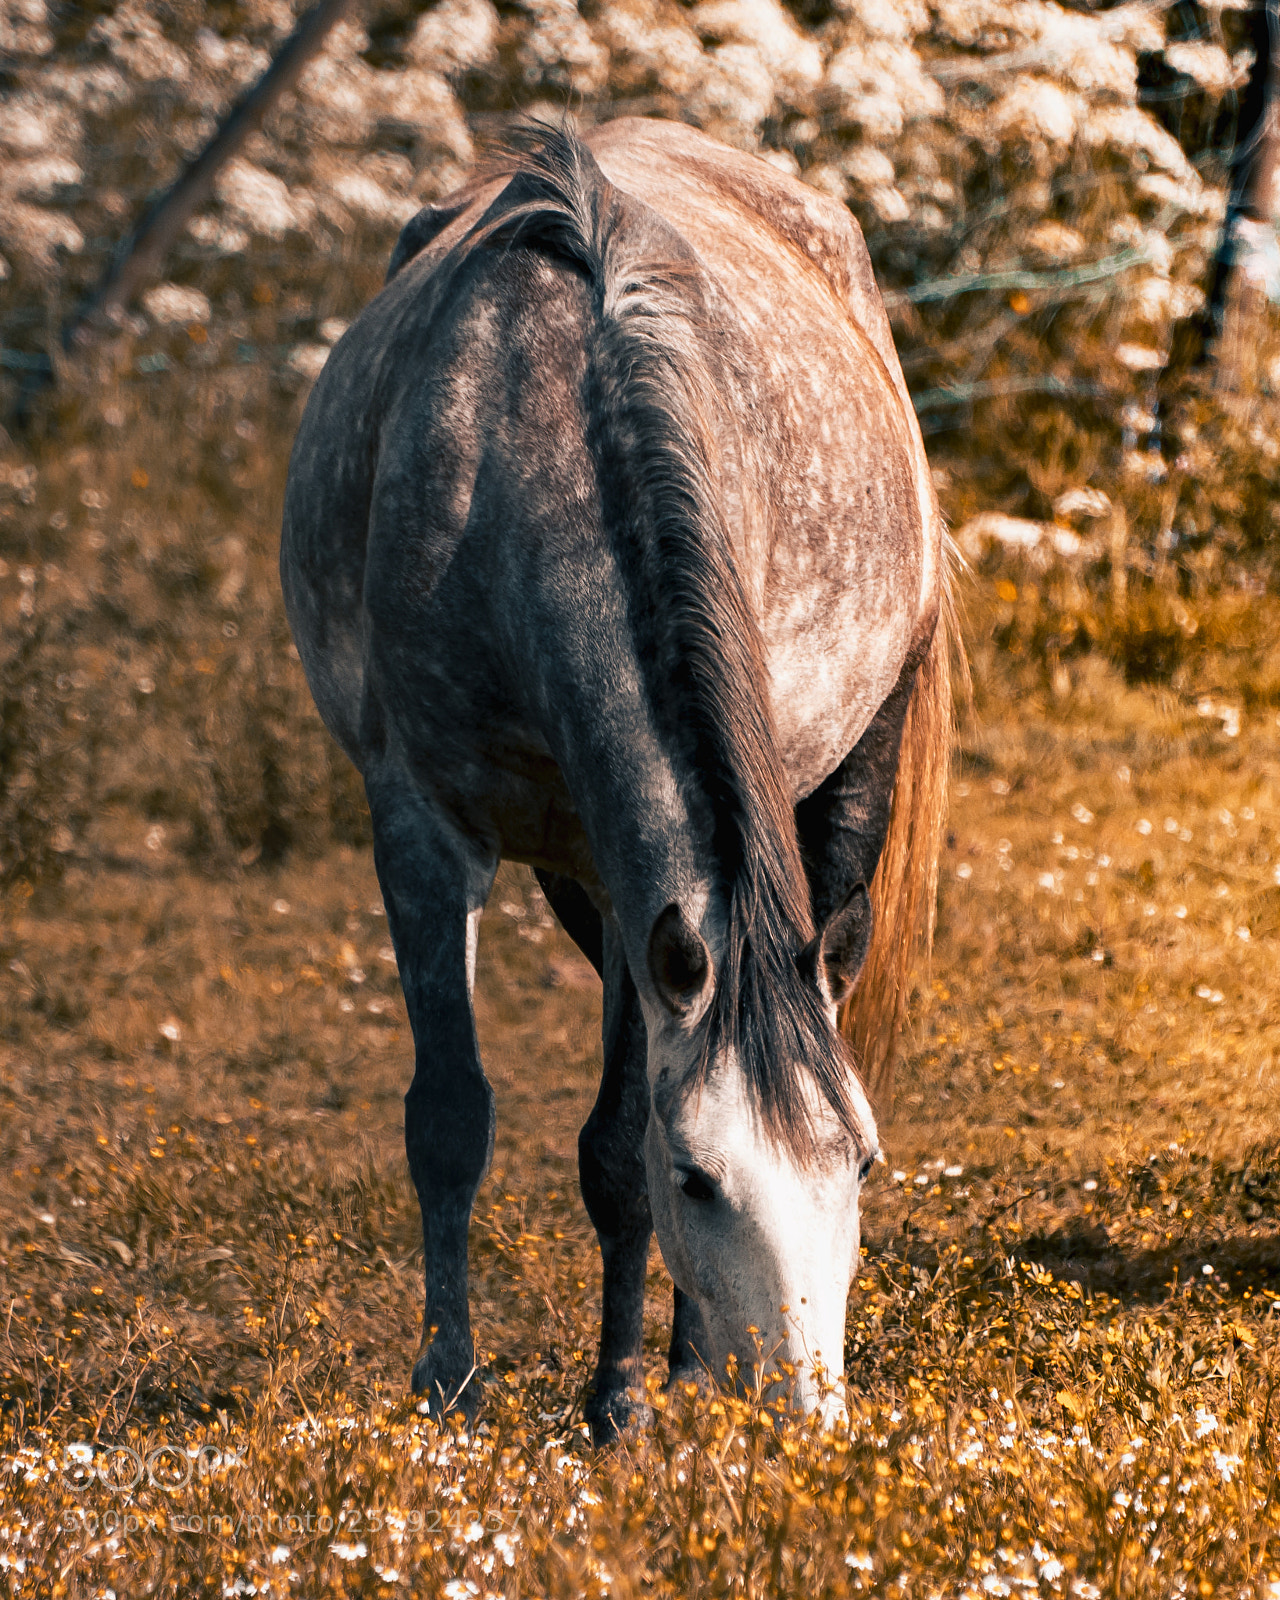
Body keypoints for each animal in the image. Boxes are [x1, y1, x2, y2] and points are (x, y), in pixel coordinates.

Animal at [281, 117, 952, 1443]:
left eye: (858, 1165)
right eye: (699, 1179)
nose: (806, 1417)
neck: (527, 452)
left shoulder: (644, 874)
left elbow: (607, 1147)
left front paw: (628, 1399)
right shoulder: (425, 830)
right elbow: (454, 1117)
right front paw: (451, 1386)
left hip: (849, 769)